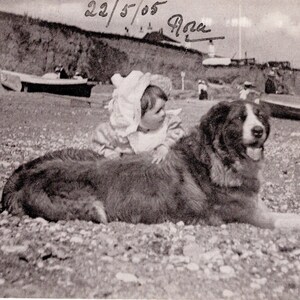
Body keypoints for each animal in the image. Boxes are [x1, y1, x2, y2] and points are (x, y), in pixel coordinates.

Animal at [1, 101, 300, 230]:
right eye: (239, 119)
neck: (217, 159)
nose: (259, 130)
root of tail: (22, 176)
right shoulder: (251, 214)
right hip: (90, 205)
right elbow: (286, 220)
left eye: (259, 116)